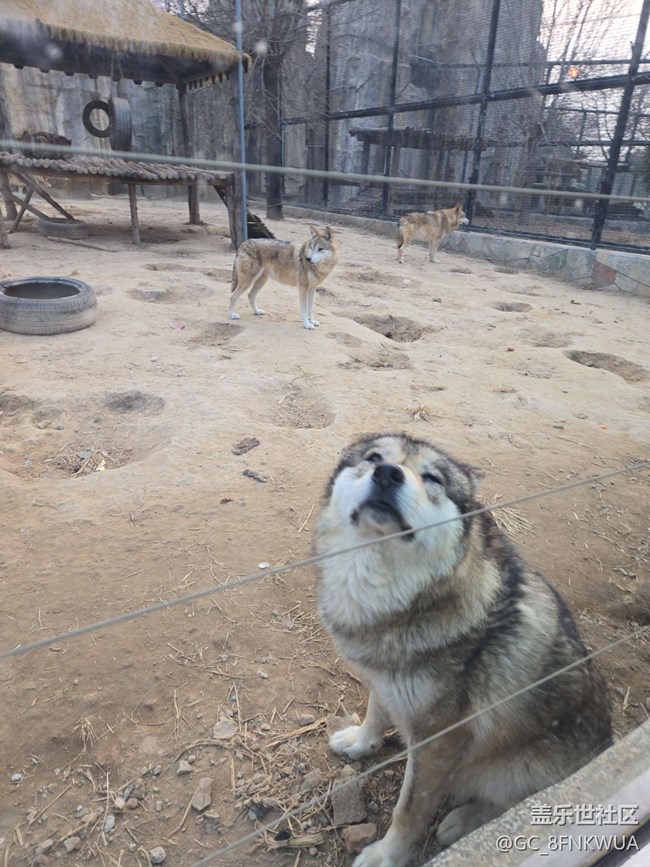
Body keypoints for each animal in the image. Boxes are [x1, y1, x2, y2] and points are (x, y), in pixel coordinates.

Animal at [316, 433, 612, 867]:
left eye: (431, 478)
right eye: (374, 457)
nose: (387, 474)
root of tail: (609, 743)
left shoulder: (439, 740)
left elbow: (409, 808)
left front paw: (387, 855)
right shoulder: (386, 678)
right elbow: (376, 711)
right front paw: (361, 744)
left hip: (512, 769)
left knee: (518, 806)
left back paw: (463, 821)